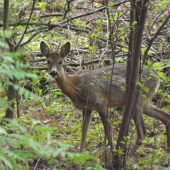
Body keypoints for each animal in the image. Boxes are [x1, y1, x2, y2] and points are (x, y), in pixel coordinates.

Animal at [40, 40, 170, 160]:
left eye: (61, 62)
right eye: (48, 61)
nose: (53, 72)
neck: (75, 86)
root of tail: (157, 77)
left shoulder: (101, 104)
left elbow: (108, 132)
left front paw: (112, 155)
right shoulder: (87, 108)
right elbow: (84, 131)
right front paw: (79, 155)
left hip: (137, 97)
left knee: (142, 132)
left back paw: (126, 159)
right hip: (146, 102)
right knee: (165, 116)